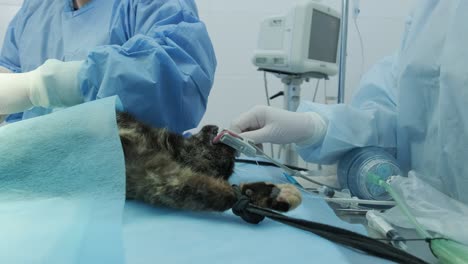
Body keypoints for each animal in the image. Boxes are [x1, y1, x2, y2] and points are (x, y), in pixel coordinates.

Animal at [116, 111, 300, 212]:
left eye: (230, 165)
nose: (214, 127)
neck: (168, 147)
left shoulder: (151, 175)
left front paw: (264, 196)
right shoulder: (152, 172)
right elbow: (223, 193)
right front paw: (267, 195)